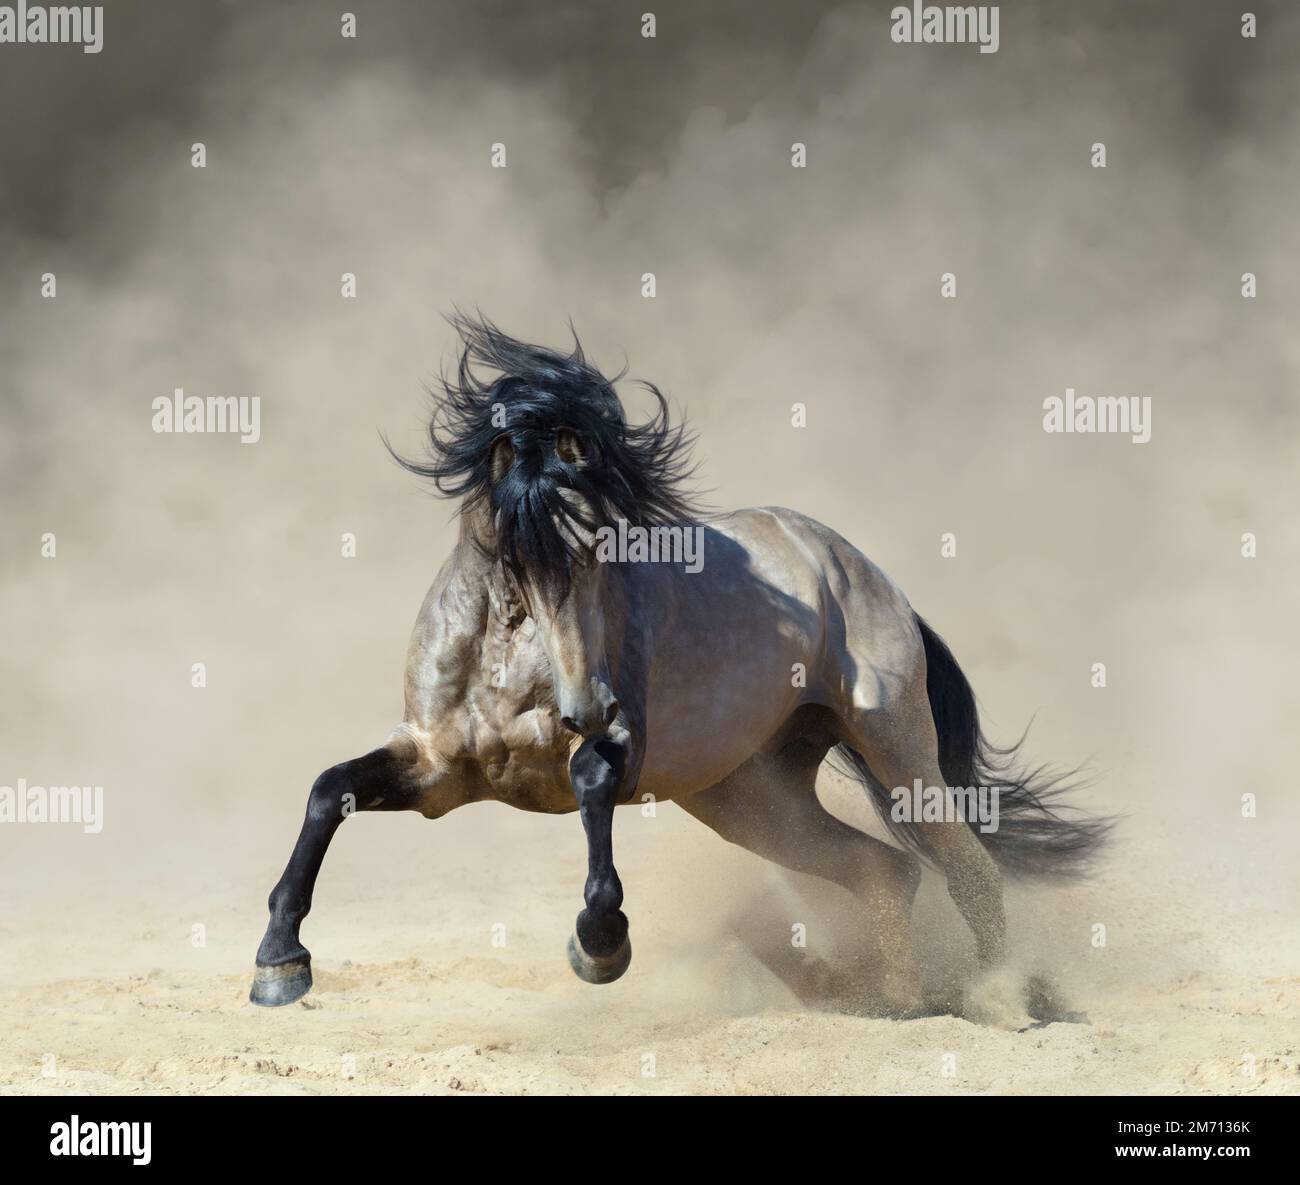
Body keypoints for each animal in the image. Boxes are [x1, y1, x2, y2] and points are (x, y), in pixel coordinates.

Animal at [250, 314, 1109, 1015]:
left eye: (605, 544)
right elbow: (329, 791)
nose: (589, 707)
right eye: (519, 555)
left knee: (969, 868)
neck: (504, 663)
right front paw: (280, 962)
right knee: (882, 871)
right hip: (748, 797)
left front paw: (601, 943)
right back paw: (893, 999)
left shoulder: (615, 754)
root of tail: (861, 571)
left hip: (896, 750)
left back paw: (1003, 996)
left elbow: (592, 784)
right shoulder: (436, 772)